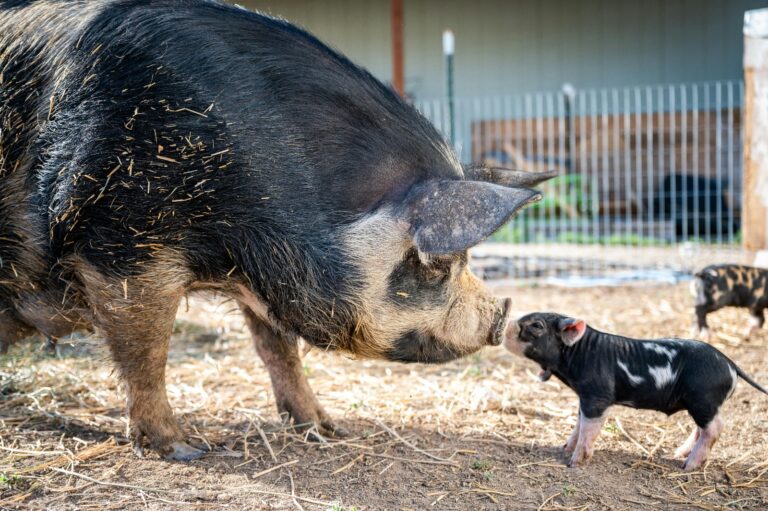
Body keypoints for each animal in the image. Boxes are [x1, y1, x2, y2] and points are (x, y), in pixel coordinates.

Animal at [0, 1, 555, 460]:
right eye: (435, 263)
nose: (501, 315)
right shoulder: (121, 240)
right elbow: (147, 352)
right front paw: (186, 450)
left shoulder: (268, 275)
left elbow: (279, 350)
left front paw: (326, 429)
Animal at [504, 312, 767, 470]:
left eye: (537, 325)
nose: (506, 325)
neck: (579, 354)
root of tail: (730, 364)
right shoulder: (585, 398)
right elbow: (579, 424)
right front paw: (565, 448)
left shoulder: (597, 396)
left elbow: (589, 428)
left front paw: (574, 462)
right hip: (703, 404)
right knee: (702, 429)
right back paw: (678, 453)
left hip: (703, 398)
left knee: (715, 427)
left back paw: (687, 466)